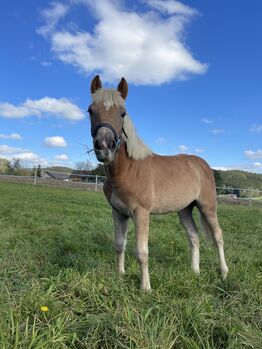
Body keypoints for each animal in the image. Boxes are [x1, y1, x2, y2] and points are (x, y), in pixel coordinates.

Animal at [87, 75, 227, 290]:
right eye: (90, 111)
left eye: (122, 113)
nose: (104, 146)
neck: (128, 170)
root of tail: (202, 164)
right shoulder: (118, 213)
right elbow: (119, 245)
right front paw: (120, 276)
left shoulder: (141, 214)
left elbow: (142, 252)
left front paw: (145, 288)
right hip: (184, 210)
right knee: (194, 236)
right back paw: (195, 271)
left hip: (207, 207)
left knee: (218, 236)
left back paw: (224, 273)